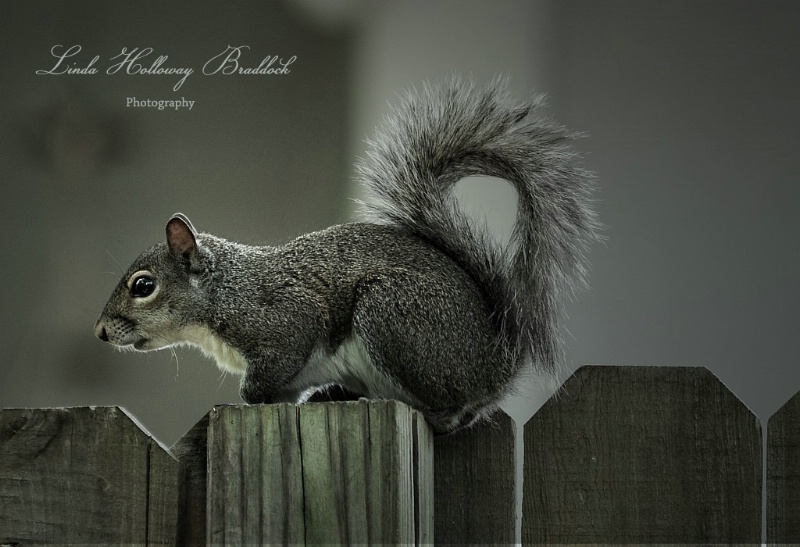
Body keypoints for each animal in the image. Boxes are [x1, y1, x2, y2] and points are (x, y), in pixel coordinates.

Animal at [94, 78, 596, 436]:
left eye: (143, 286)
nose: (100, 332)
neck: (224, 294)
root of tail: (497, 363)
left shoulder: (285, 320)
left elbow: (271, 368)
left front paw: (248, 394)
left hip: (393, 315)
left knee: (458, 411)